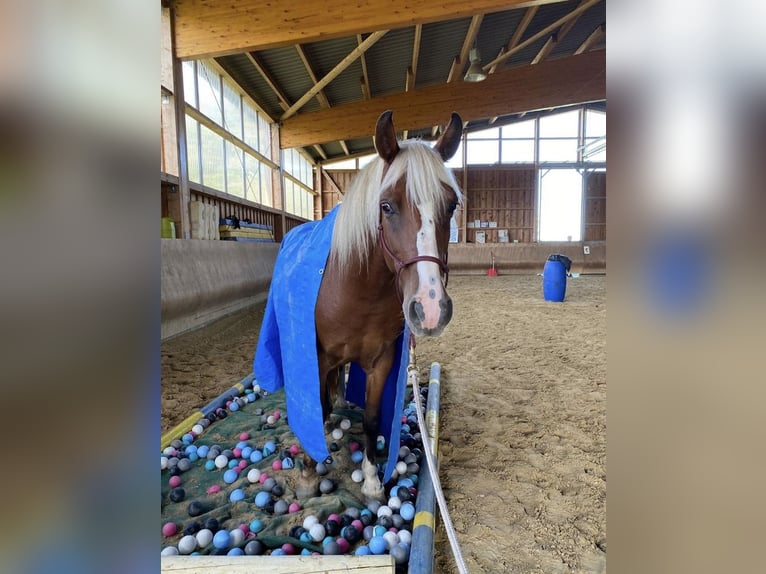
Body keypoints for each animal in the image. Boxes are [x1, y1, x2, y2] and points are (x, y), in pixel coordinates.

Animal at [306, 110, 462, 502]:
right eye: (386, 206)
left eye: (451, 205)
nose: (431, 309)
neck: (358, 294)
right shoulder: (317, 356)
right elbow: (316, 402)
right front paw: (312, 469)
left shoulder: (381, 362)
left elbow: (373, 417)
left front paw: (372, 478)